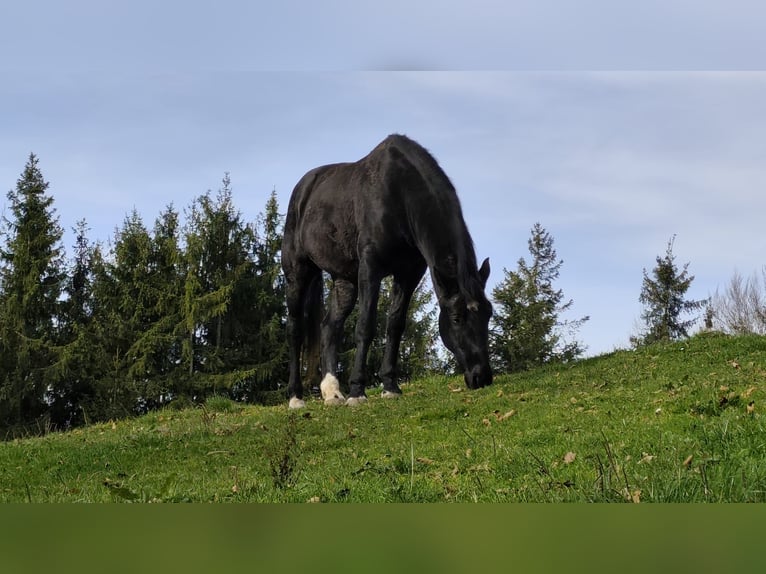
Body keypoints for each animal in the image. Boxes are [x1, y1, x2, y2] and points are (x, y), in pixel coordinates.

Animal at [281, 134, 493, 408]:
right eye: (456, 318)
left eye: (488, 315)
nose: (482, 376)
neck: (399, 195)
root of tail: (303, 189)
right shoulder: (371, 269)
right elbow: (366, 326)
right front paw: (357, 391)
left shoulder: (409, 273)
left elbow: (395, 325)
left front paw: (390, 386)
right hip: (297, 273)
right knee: (295, 330)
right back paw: (296, 397)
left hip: (345, 281)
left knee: (329, 327)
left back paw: (333, 393)